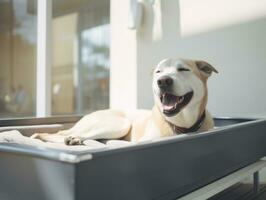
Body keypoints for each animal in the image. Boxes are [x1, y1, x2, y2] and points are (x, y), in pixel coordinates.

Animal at [32, 57, 217, 145]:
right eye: (158, 72)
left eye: (184, 69)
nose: (163, 81)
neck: (183, 126)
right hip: (119, 124)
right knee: (57, 135)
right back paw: (69, 138)